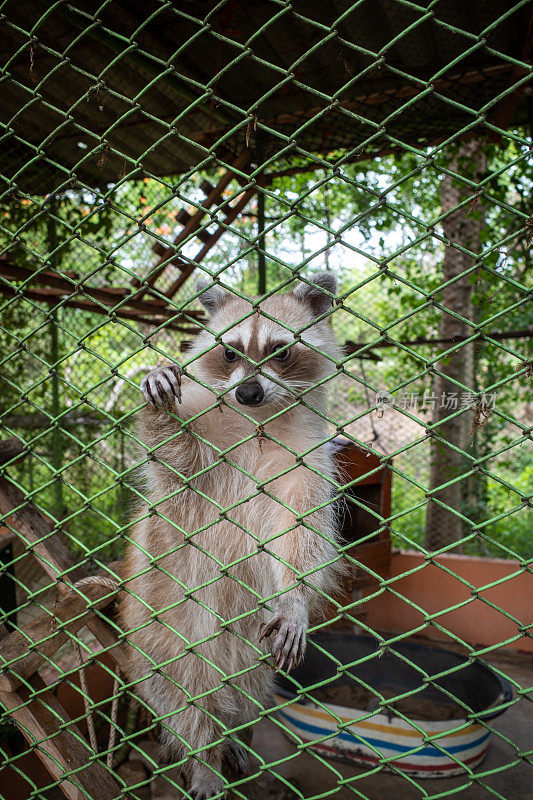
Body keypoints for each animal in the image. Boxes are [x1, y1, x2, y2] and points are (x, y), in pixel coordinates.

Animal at [120, 272, 342, 796]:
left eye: (280, 351)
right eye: (230, 351)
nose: (249, 393)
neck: (257, 423)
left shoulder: (307, 461)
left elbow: (302, 533)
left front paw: (294, 597)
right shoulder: (203, 454)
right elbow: (174, 465)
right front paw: (159, 402)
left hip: (250, 654)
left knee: (246, 691)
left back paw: (236, 734)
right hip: (161, 637)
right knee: (186, 700)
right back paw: (205, 758)